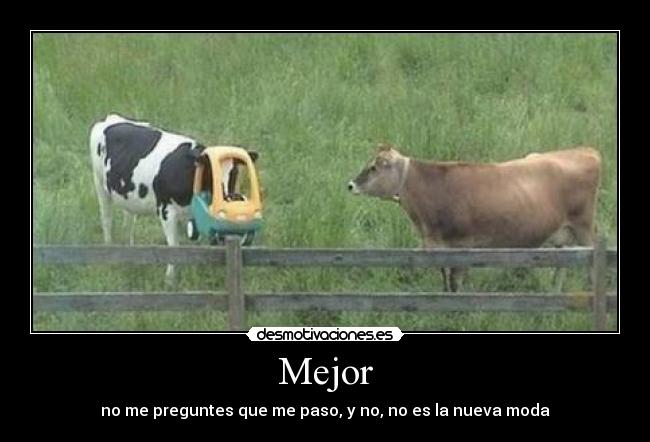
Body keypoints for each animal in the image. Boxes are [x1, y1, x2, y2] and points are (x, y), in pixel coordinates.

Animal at [89, 114, 258, 285]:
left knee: (128, 222)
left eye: (235, 172)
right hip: (99, 184)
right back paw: (110, 250)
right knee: (107, 219)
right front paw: (170, 279)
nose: (228, 198)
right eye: (210, 172)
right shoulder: (166, 209)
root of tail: (110, 118)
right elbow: (173, 245)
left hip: (127, 195)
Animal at [348, 144, 601, 292]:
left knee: (590, 265)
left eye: (374, 167)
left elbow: (455, 281)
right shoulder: (439, 246)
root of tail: (586, 151)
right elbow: (445, 279)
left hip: (584, 227)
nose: (350, 185)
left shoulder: (461, 245)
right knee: (563, 266)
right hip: (564, 235)